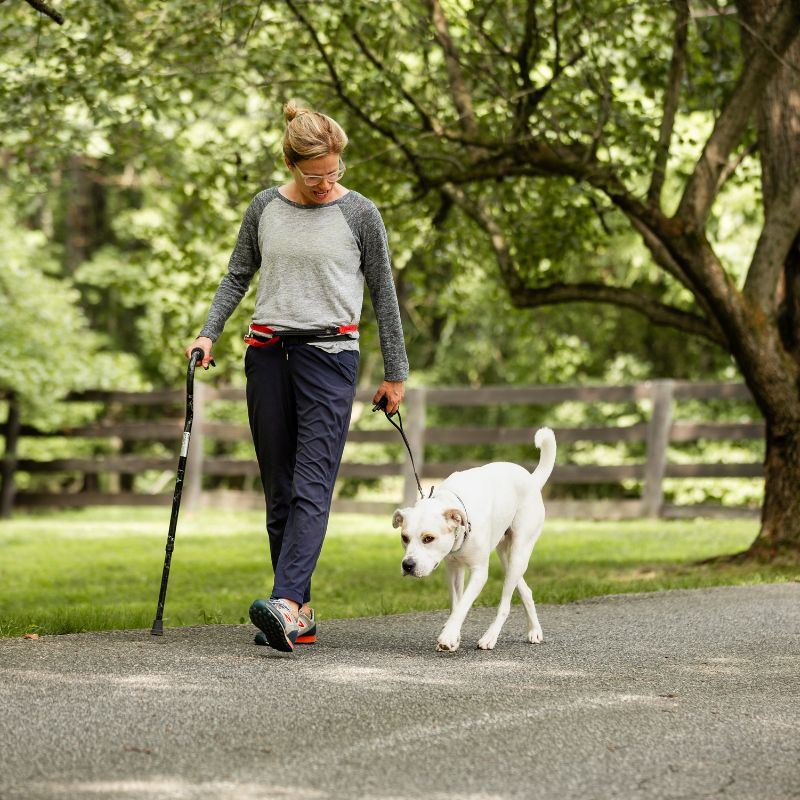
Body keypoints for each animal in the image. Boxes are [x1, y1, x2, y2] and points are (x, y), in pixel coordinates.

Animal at [394, 428, 556, 652]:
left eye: (428, 538)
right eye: (404, 537)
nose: (407, 565)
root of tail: (531, 480)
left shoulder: (479, 572)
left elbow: (463, 604)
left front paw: (448, 636)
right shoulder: (453, 569)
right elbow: (456, 604)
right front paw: (453, 636)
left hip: (519, 552)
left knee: (505, 603)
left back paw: (490, 637)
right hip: (505, 555)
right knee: (525, 590)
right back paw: (534, 630)